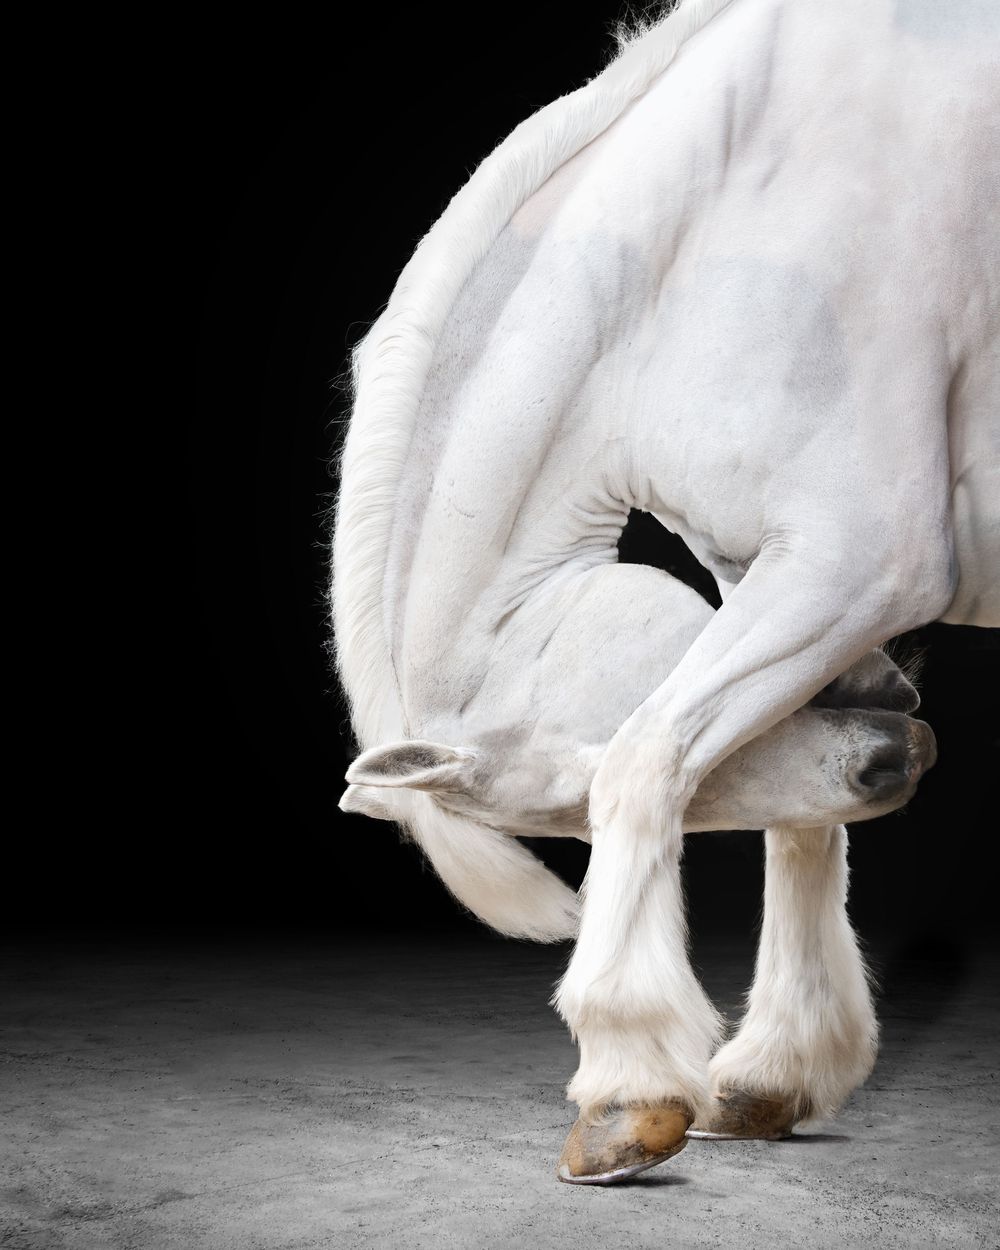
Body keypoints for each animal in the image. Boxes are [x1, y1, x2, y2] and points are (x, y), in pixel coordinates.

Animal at [331, 0, 999, 1183]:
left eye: (574, 789)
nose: (896, 760)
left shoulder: (860, 559)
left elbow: (651, 758)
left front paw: (626, 1089)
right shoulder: (781, 580)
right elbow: (797, 817)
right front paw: (777, 1070)